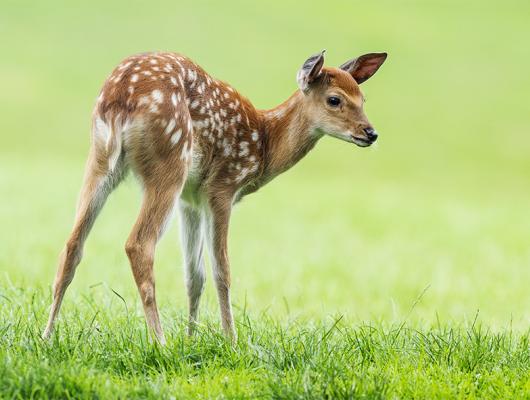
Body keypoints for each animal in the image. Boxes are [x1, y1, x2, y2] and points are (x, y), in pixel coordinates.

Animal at [41, 50, 386, 344]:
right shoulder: (222, 187)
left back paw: (47, 336)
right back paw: (160, 342)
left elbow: (195, 275)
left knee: (72, 244)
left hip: (101, 159)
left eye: (363, 98)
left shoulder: (191, 199)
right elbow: (222, 271)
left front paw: (191, 339)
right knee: (138, 244)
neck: (265, 144)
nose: (370, 133)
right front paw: (232, 341)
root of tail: (121, 95)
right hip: (169, 162)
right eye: (334, 100)